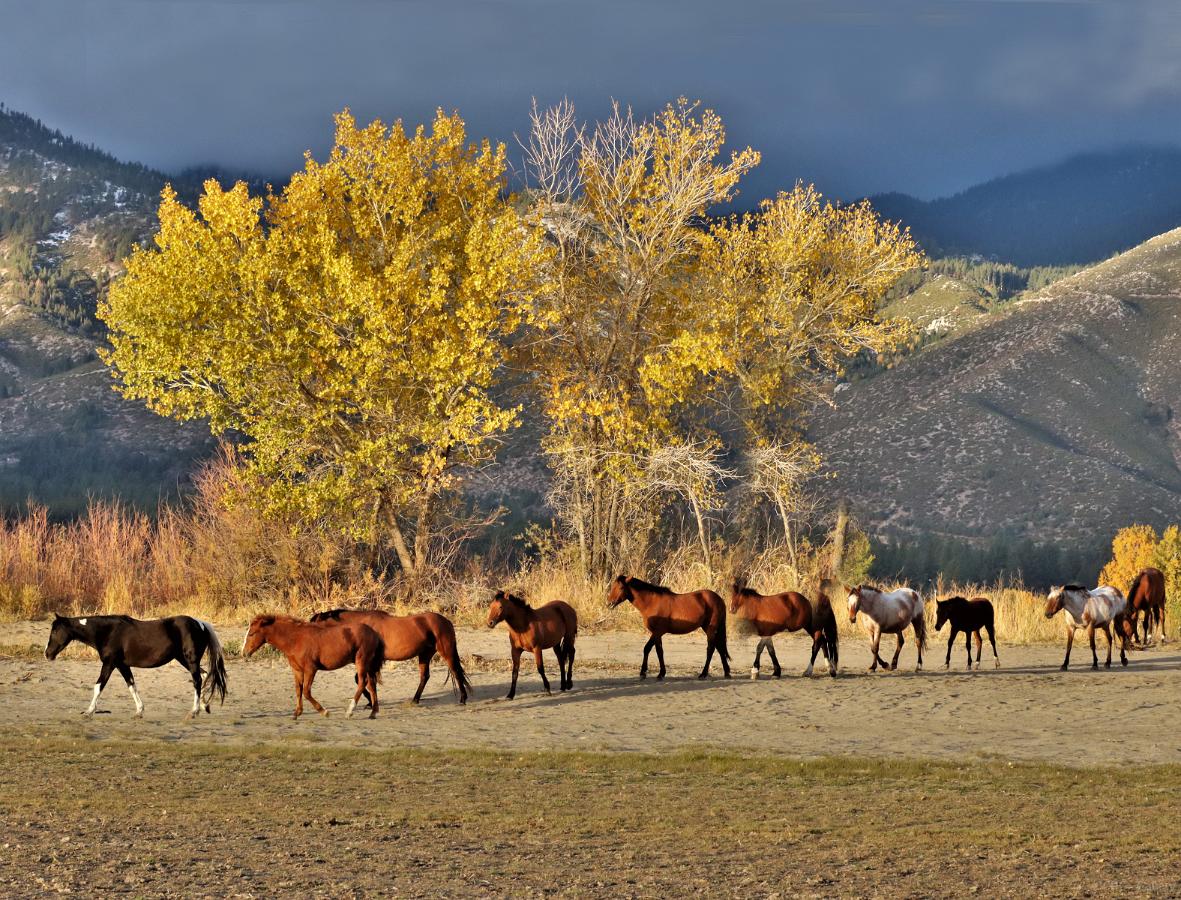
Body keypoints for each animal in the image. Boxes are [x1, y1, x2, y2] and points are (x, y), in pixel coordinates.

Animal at [44, 609, 227, 713]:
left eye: (55, 631)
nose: (47, 654)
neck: (107, 632)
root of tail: (200, 623)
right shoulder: (122, 665)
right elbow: (131, 685)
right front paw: (140, 710)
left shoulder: (109, 663)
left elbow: (98, 686)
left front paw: (89, 711)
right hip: (184, 660)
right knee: (202, 676)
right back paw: (203, 706)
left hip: (190, 659)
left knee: (197, 680)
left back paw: (195, 710)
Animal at [240, 614, 382, 718]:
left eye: (251, 633)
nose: (244, 653)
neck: (295, 639)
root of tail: (373, 632)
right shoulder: (297, 670)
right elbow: (298, 690)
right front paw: (297, 713)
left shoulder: (310, 669)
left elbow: (306, 692)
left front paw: (324, 711)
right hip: (368, 664)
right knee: (372, 684)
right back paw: (373, 713)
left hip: (361, 662)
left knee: (362, 683)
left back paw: (350, 711)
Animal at [311, 604, 472, 703]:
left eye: (314, 623)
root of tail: (446, 621)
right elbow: (362, 680)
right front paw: (370, 701)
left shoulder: (370, 660)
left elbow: (362, 680)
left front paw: (370, 701)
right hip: (425, 655)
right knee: (425, 677)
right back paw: (415, 699)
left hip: (446, 651)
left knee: (456, 671)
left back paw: (463, 699)